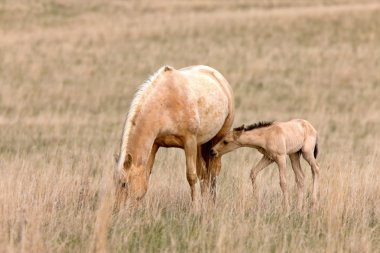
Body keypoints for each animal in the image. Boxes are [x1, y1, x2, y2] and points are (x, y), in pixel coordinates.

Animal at [114, 64, 235, 208]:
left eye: (124, 184)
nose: (117, 209)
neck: (166, 104)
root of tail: (218, 77)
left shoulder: (189, 142)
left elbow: (191, 176)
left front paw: (195, 208)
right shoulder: (154, 145)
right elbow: (146, 177)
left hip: (217, 141)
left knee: (213, 173)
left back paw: (212, 203)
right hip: (200, 145)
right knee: (204, 174)